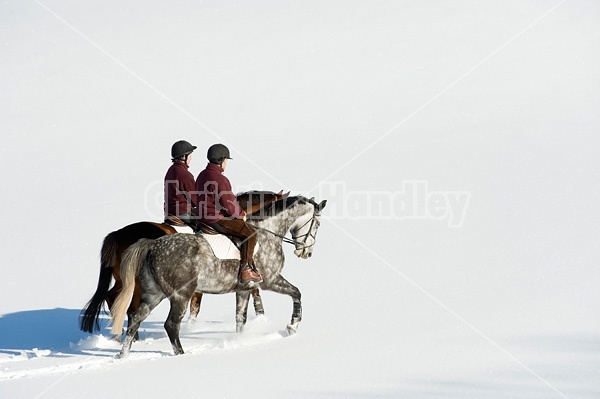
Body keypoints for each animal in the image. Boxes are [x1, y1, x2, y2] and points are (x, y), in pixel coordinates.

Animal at [79, 190, 288, 334]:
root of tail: (117, 234)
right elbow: (253, 288)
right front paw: (261, 318)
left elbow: (196, 306)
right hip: (135, 283)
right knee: (129, 308)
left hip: (123, 279)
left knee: (111, 296)